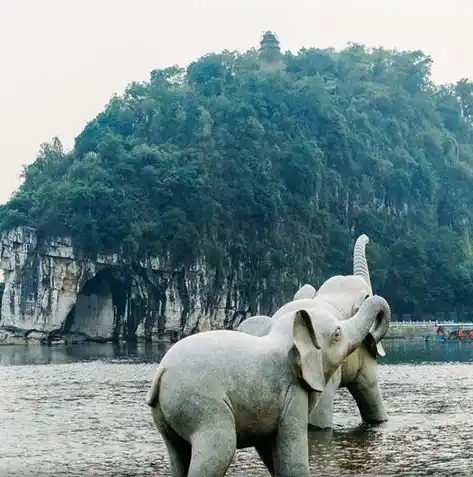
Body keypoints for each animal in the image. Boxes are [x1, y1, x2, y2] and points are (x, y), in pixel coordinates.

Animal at [146, 294, 390, 476]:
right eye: (337, 334)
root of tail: (162, 372)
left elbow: (270, 451)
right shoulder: (292, 395)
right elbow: (291, 453)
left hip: (167, 418)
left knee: (178, 455)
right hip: (201, 407)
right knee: (219, 449)